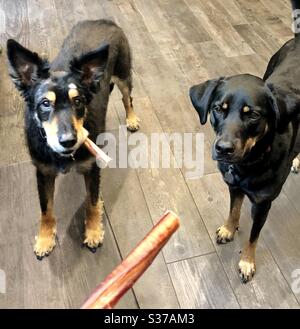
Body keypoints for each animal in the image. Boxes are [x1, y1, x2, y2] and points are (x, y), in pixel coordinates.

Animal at [5, 19, 139, 260]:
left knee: (128, 98)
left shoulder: (92, 167)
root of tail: (105, 21)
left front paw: (94, 231)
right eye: (45, 103)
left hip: (124, 74)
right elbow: (46, 209)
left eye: (78, 101)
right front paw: (45, 239)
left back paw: (132, 118)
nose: (68, 141)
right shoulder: (43, 172)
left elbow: (92, 203)